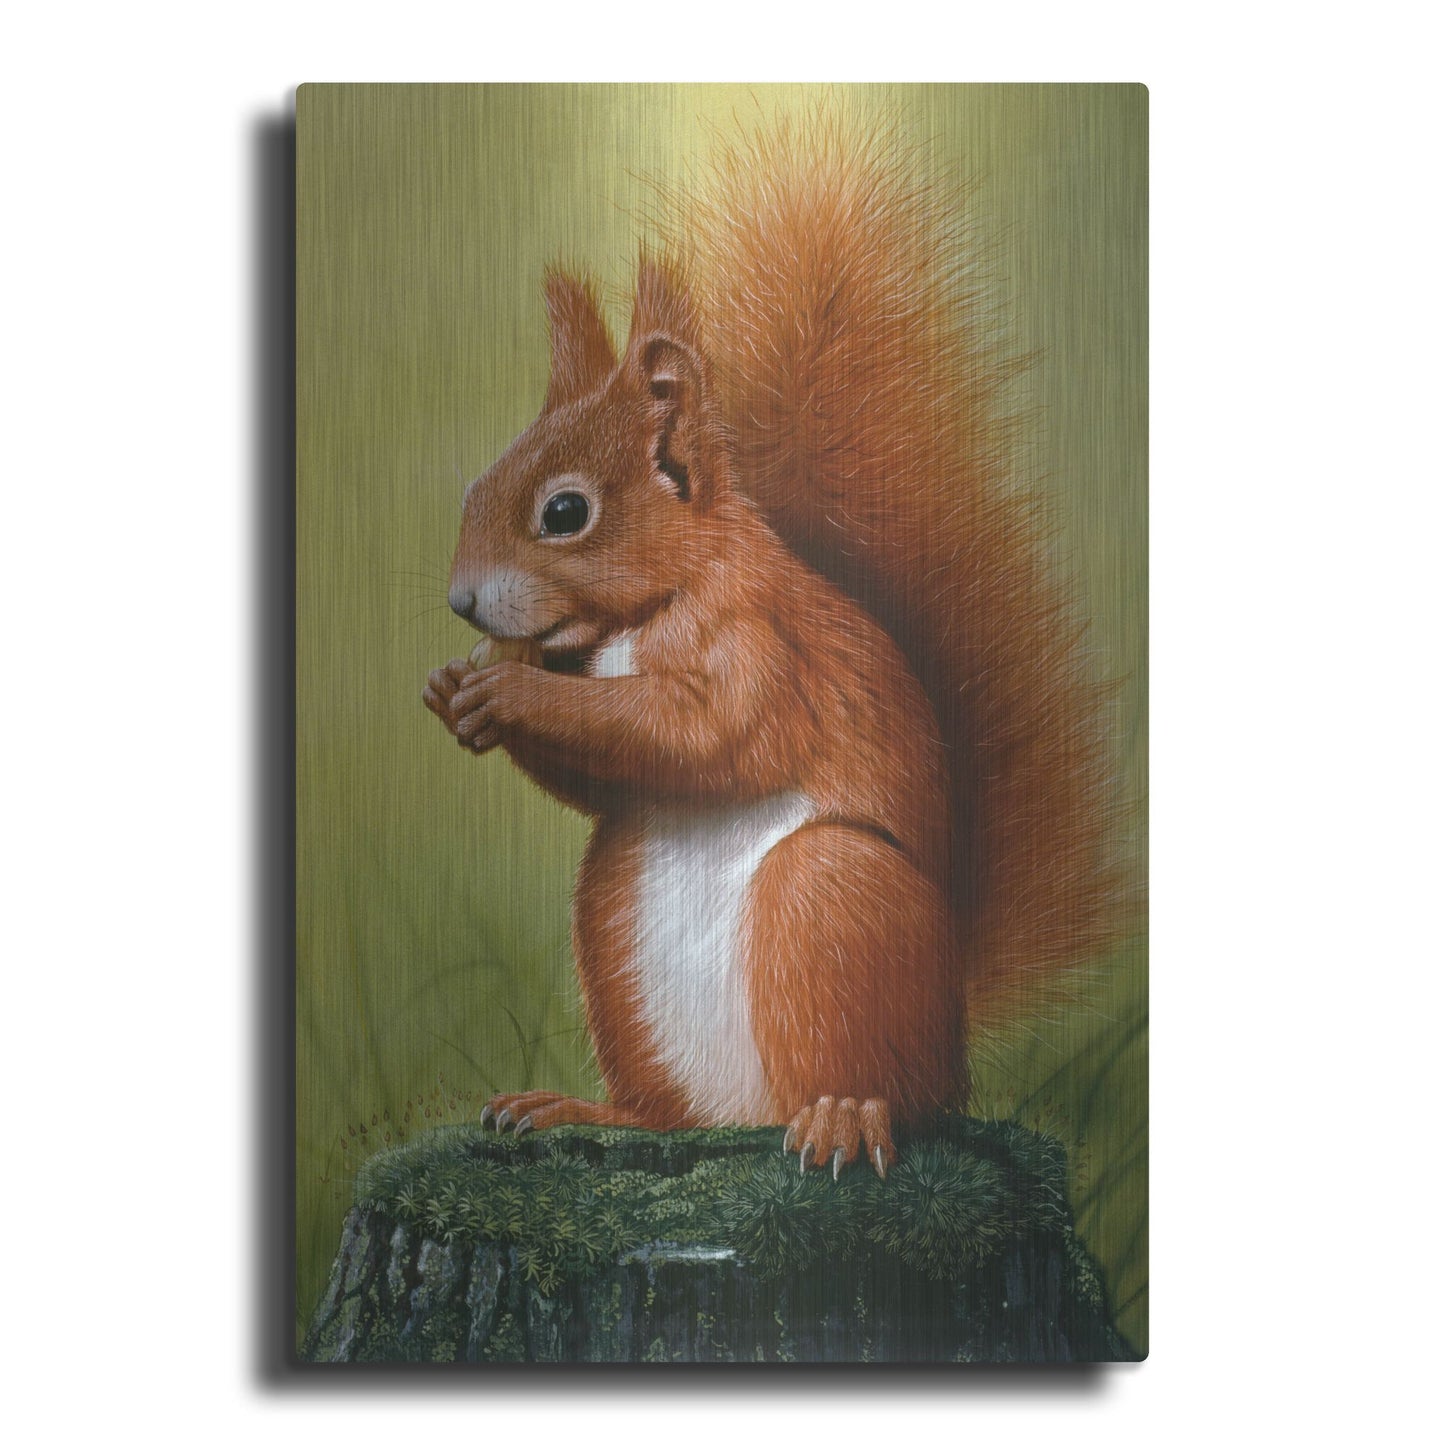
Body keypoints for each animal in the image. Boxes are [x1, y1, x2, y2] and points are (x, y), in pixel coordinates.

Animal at [423, 116, 1116, 1179]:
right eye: (475, 484)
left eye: (565, 513)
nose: (460, 602)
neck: (646, 612)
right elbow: (605, 778)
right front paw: (457, 690)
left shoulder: (760, 647)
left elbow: (704, 734)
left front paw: (508, 692)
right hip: (611, 928)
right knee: (671, 1115)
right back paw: (585, 1108)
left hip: (830, 900)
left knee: (888, 1087)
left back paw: (844, 1115)